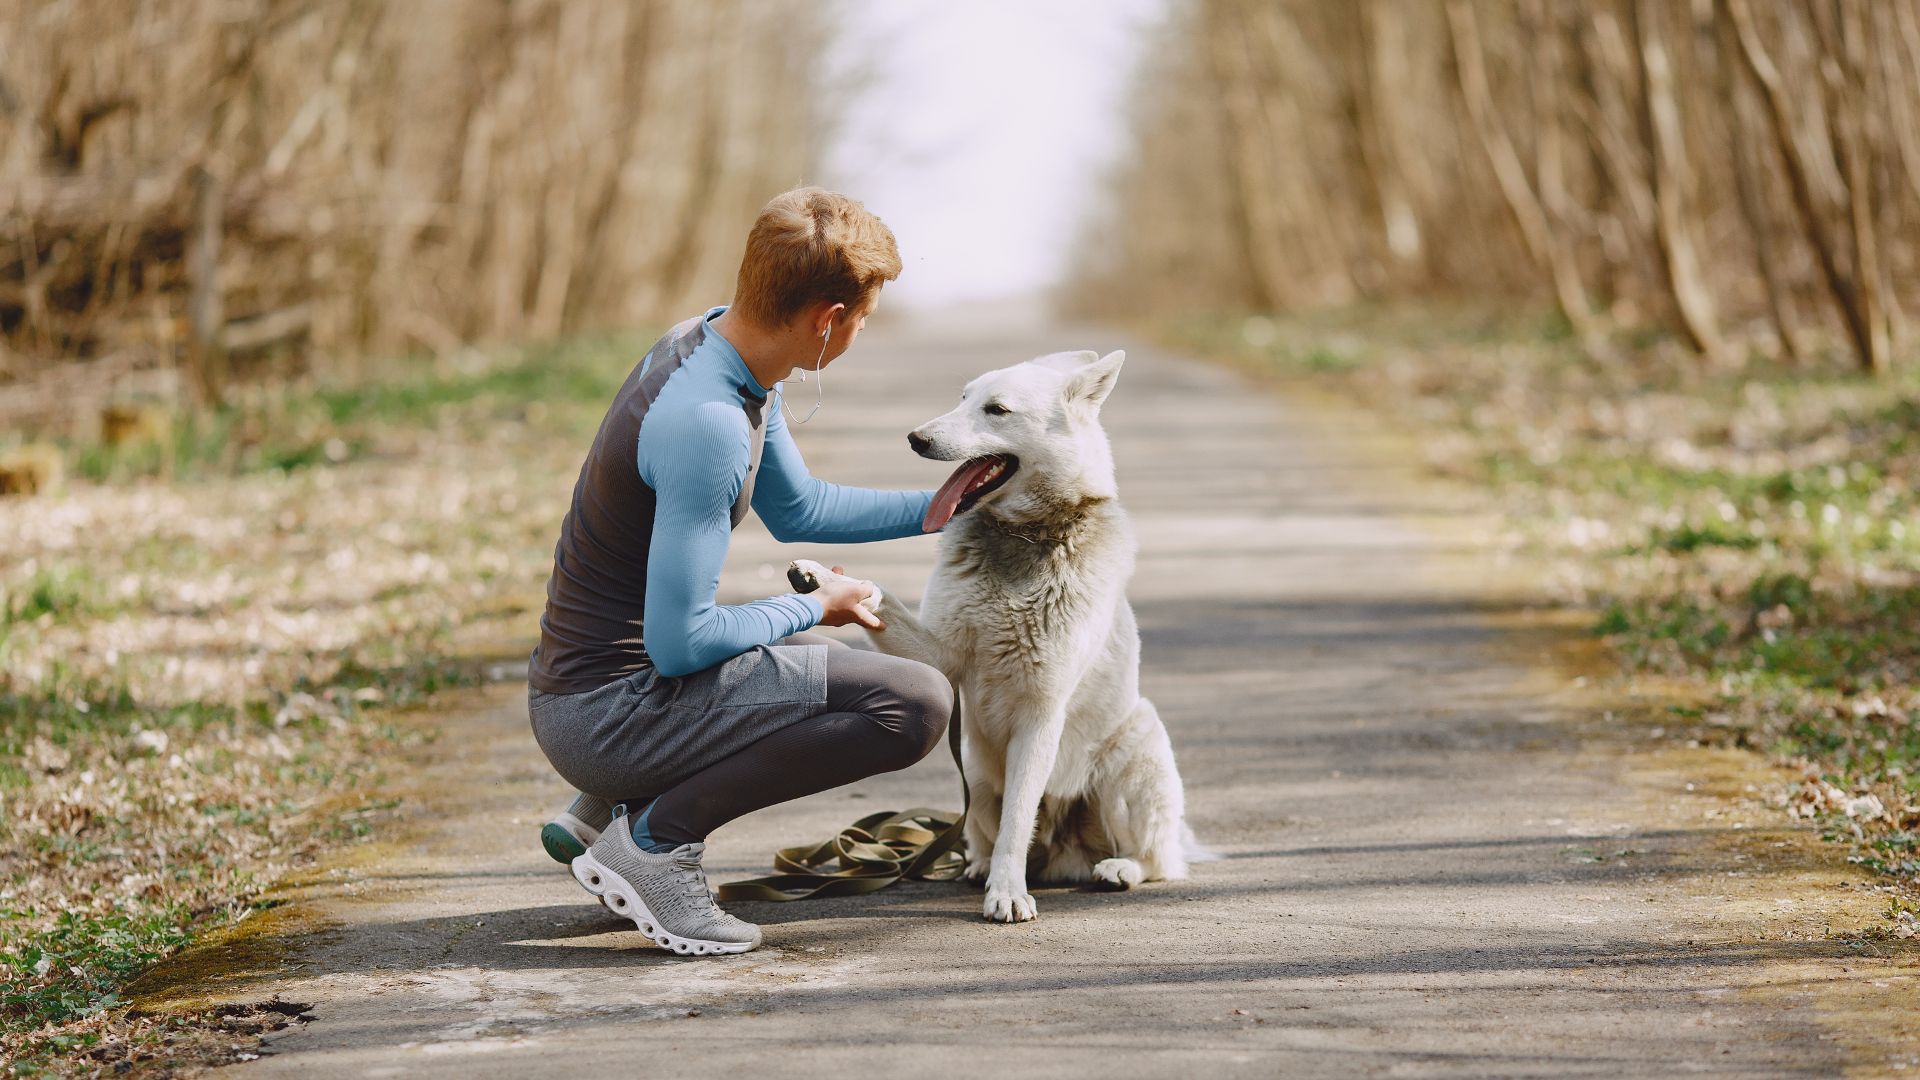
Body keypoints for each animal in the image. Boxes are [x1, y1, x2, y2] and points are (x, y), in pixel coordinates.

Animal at [794, 345, 1198, 914]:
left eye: (997, 410)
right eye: (962, 398)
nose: (915, 438)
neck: (1023, 536)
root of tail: (1064, 855)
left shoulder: (1041, 713)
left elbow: (1017, 822)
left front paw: (1007, 893)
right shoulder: (941, 656)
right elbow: (879, 597)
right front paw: (825, 580)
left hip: (1136, 751)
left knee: (1158, 859)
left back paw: (1117, 868)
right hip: (977, 773)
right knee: (978, 833)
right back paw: (978, 865)